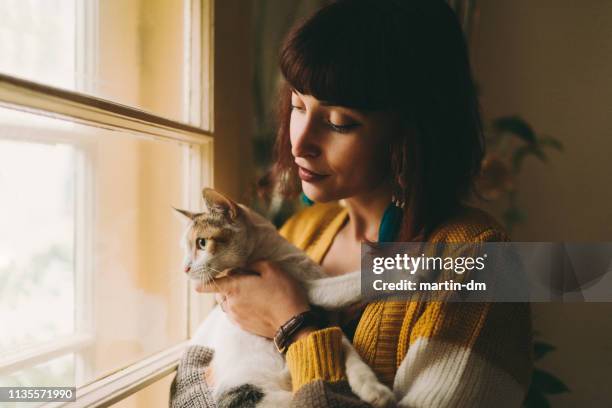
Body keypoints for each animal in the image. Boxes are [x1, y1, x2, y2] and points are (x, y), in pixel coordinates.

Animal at [175, 188, 394, 408]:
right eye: (185, 248)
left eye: (202, 243)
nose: (184, 268)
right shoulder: (312, 290)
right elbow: (350, 284)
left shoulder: (327, 318)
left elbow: (346, 349)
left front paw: (370, 386)